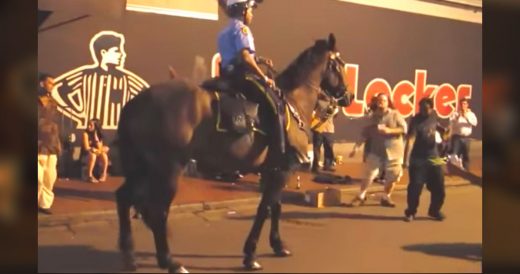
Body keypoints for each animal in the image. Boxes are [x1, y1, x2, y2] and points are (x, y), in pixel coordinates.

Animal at [116, 33, 352, 272]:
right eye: (340, 65)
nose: (348, 96)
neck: (294, 101)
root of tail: (136, 103)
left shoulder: (274, 170)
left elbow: (275, 207)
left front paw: (278, 245)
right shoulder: (282, 171)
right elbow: (264, 209)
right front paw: (250, 255)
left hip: (142, 167)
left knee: (124, 198)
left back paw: (129, 256)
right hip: (168, 169)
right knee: (158, 211)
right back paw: (169, 261)